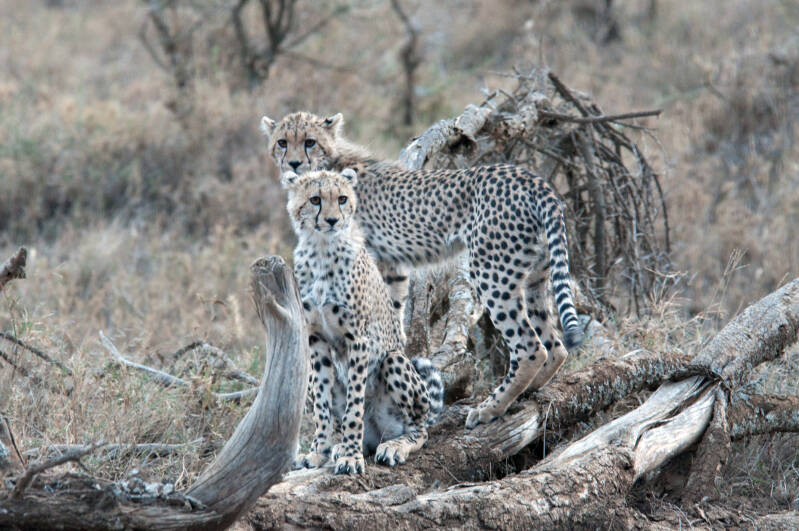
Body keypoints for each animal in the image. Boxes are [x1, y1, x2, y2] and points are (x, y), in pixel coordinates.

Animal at [261, 111, 584, 429]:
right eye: (282, 142)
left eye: (310, 142)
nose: (293, 163)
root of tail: (532, 178)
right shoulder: (391, 264)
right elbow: (392, 310)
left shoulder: (368, 260)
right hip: (535, 275)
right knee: (556, 346)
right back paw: (527, 390)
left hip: (493, 272)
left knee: (531, 347)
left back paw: (490, 408)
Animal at [284, 167, 444, 475]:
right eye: (315, 199)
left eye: (342, 198)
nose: (332, 220)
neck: (321, 250)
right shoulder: (316, 340)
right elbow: (322, 405)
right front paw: (319, 452)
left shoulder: (358, 339)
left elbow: (354, 406)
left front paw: (350, 457)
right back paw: (342, 447)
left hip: (394, 360)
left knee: (420, 430)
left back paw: (393, 446)